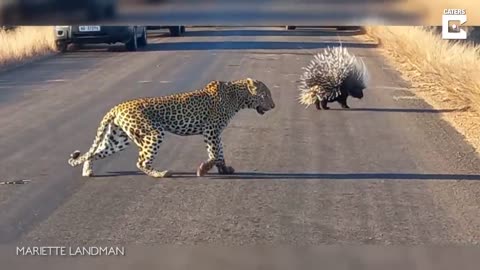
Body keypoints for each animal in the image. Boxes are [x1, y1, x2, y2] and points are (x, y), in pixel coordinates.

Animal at [69, 78, 276, 178]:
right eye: (265, 95)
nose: (273, 106)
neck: (238, 97)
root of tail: (117, 107)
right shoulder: (211, 130)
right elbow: (215, 152)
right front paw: (205, 168)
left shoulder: (214, 132)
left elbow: (219, 153)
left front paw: (223, 169)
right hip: (153, 133)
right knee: (141, 161)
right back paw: (161, 173)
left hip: (118, 139)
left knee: (95, 152)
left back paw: (87, 171)